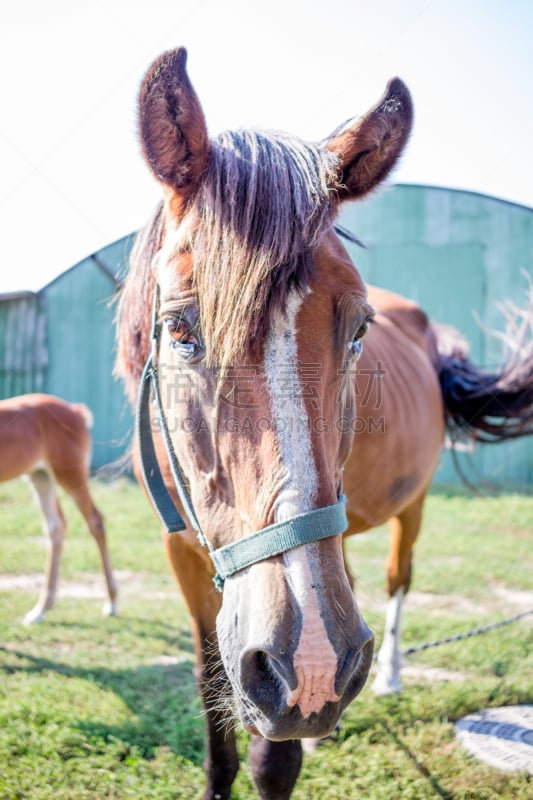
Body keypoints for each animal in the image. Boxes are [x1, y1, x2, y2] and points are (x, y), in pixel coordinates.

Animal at [0, 394, 117, 624]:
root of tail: (75, 411)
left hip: (70, 475)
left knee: (95, 521)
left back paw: (111, 602)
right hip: (41, 476)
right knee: (56, 526)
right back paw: (41, 609)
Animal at [115, 48, 532, 800]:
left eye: (360, 328)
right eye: (179, 329)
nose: (309, 660)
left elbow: (271, 760)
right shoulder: (185, 561)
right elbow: (214, 712)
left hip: (411, 505)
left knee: (397, 579)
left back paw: (388, 672)